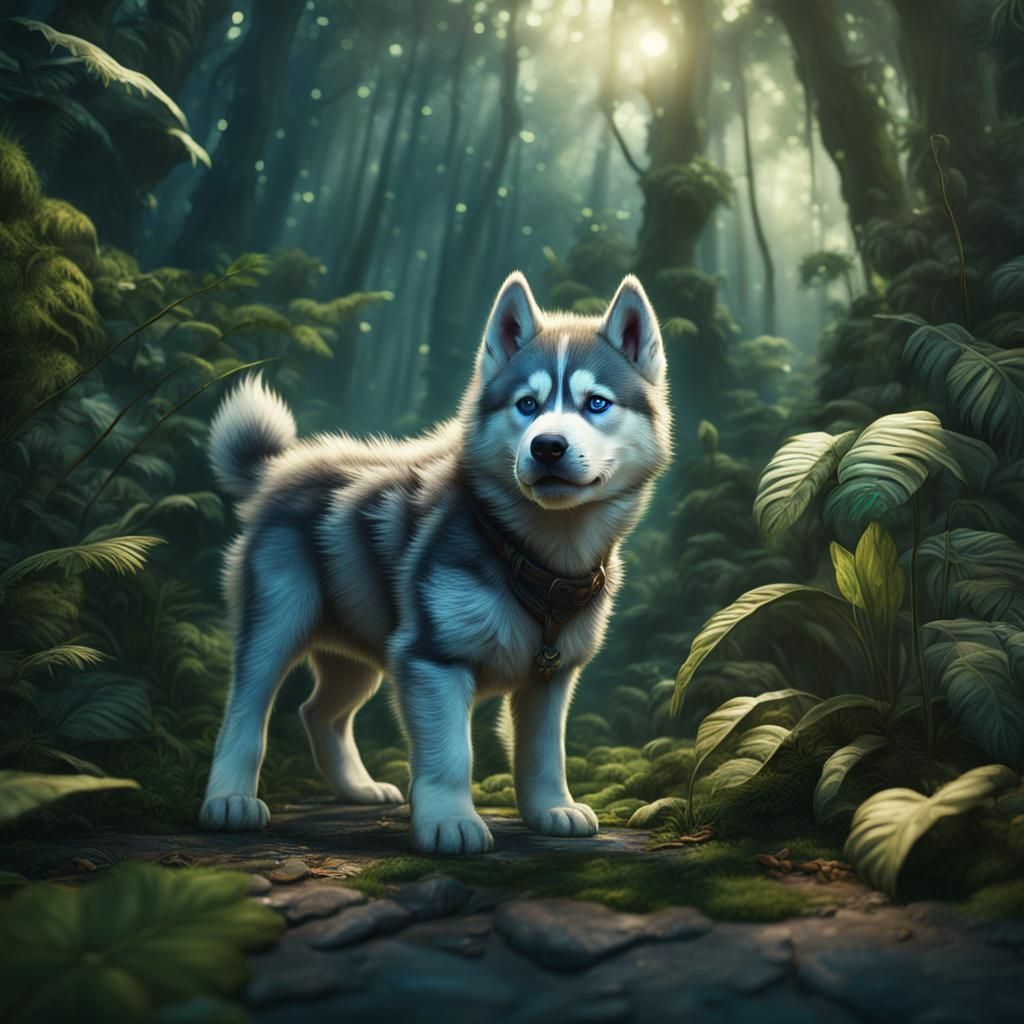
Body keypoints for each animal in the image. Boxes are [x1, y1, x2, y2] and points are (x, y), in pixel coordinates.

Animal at [199, 272, 672, 854]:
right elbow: (450, 754)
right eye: (528, 404)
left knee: (320, 712)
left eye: (597, 403)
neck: (534, 557)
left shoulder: (551, 677)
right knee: (246, 707)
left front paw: (552, 809)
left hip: (360, 649)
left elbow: (544, 753)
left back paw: (357, 789)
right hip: (277, 619)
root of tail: (280, 469)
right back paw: (229, 801)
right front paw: (450, 822)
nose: (548, 446)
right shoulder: (430, 659)